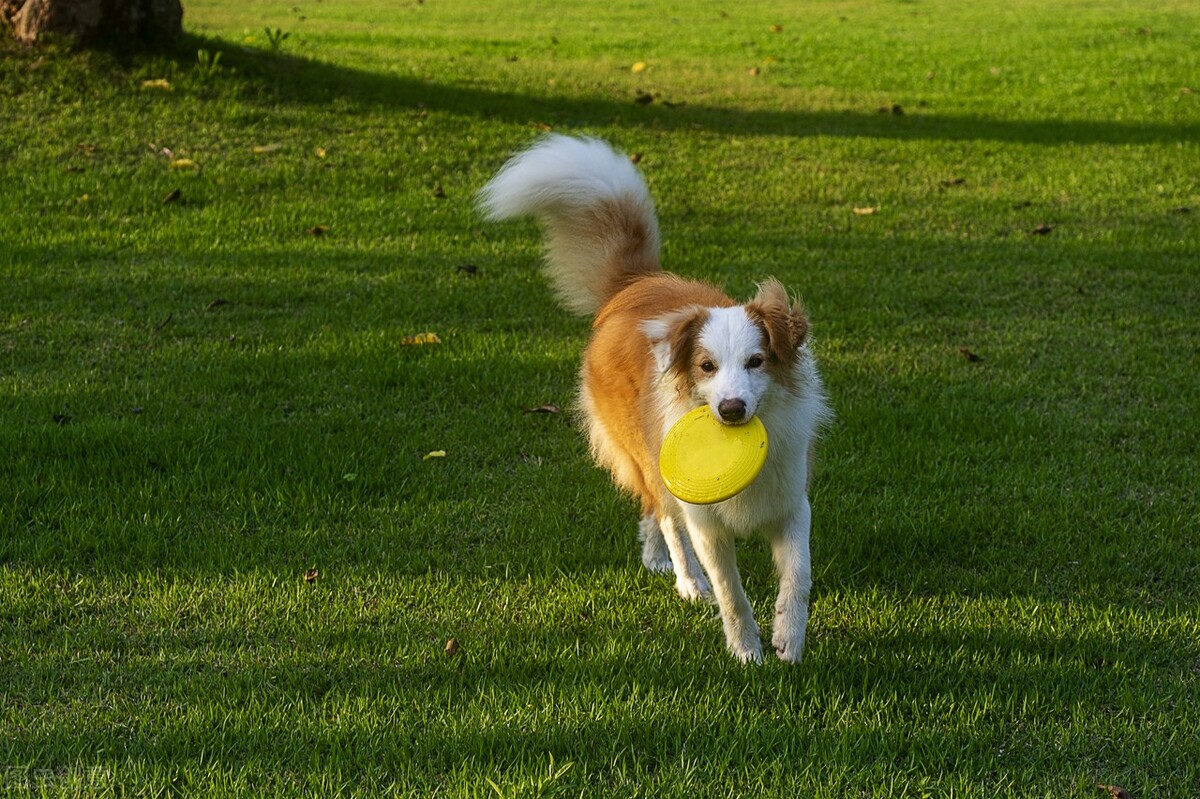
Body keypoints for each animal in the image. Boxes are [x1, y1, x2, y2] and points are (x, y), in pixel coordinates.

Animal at [475, 135, 825, 657]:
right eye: (706, 367)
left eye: (756, 362)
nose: (731, 410)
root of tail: (634, 283)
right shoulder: (706, 523)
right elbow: (730, 590)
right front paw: (746, 651)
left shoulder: (790, 503)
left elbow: (798, 578)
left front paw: (788, 640)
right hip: (648, 454)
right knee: (663, 514)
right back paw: (686, 580)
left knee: (651, 512)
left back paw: (657, 560)